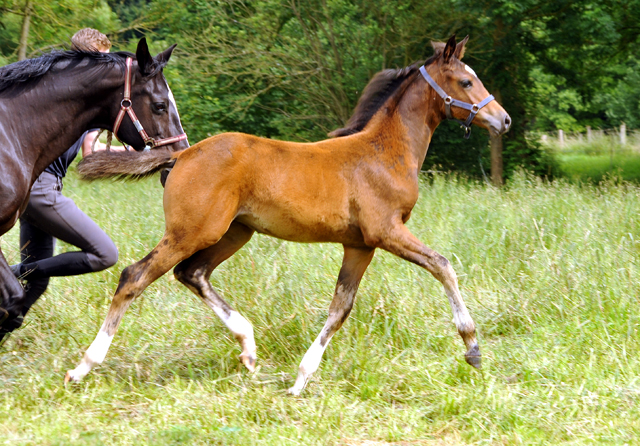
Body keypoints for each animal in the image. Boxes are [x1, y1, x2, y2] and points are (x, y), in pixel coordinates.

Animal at [66, 36, 510, 396]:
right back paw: (84, 366)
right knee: (135, 277)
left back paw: (247, 346)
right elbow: (443, 265)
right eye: (466, 82)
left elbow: (339, 309)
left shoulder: (360, 245)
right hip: (191, 232)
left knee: (191, 273)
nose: (502, 120)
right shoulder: (386, 231)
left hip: (234, 233)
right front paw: (472, 347)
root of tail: (183, 154)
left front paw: (300, 379)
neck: (385, 152)